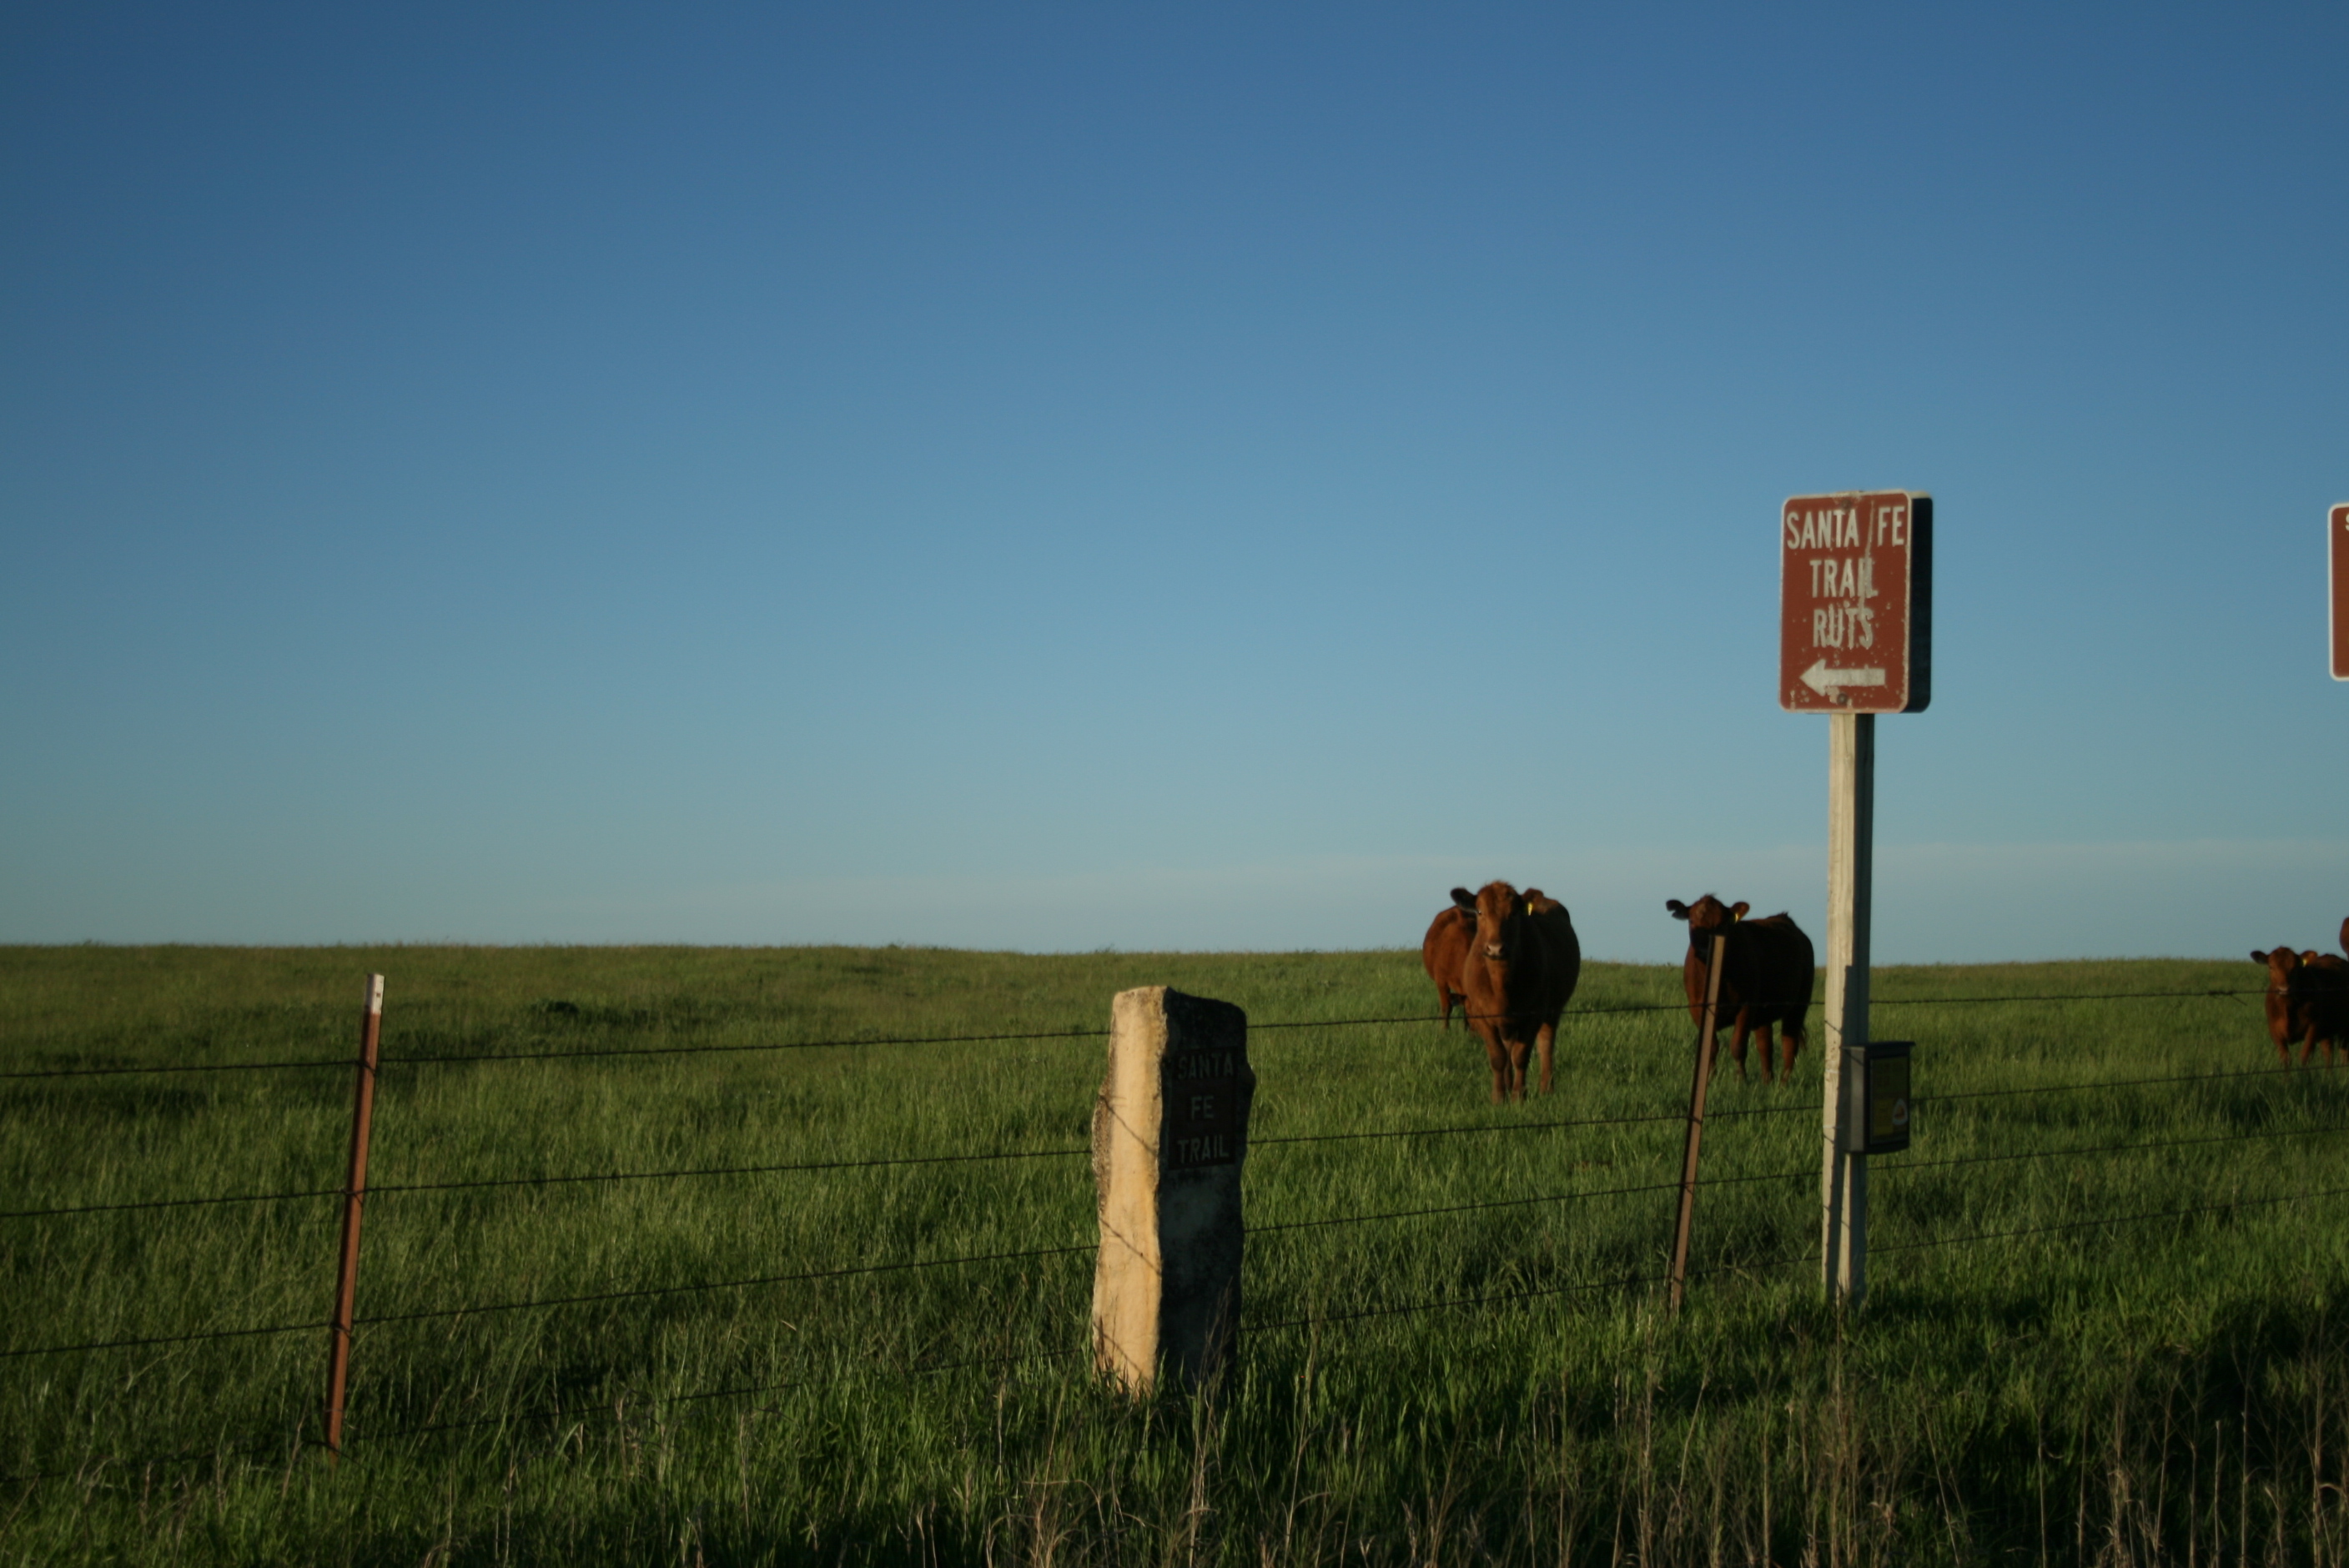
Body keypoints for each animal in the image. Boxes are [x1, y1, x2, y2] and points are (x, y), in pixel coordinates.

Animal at [1455, 882, 1582, 1102]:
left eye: (1514, 913)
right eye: (1480, 912)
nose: (1495, 948)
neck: (1501, 987)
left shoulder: (1534, 1013)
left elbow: (1521, 1055)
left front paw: (1518, 1096)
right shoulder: (1480, 1014)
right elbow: (1498, 1056)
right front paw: (1498, 1096)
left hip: (1552, 1009)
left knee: (1546, 1044)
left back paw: (1546, 1089)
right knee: (1508, 1047)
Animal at [1664, 895, 1815, 1085]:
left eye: (1722, 924)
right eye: (1692, 921)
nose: (1706, 950)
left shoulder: (1746, 1006)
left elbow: (1738, 1046)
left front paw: (1740, 1080)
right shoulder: (1697, 1009)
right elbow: (1711, 1046)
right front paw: (1710, 1078)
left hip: (1799, 1004)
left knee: (1789, 1043)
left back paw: (1783, 1083)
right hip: (1764, 1011)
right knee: (1765, 1044)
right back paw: (1767, 1081)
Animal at [2252, 946, 2349, 1065]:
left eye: (2295, 968)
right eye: (2271, 966)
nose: (2284, 989)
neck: (2287, 1008)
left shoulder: (2313, 1028)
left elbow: (2304, 1056)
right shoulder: (2275, 1032)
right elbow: (2285, 1059)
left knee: (2343, 1054)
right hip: (2327, 1031)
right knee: (2328, 1053)